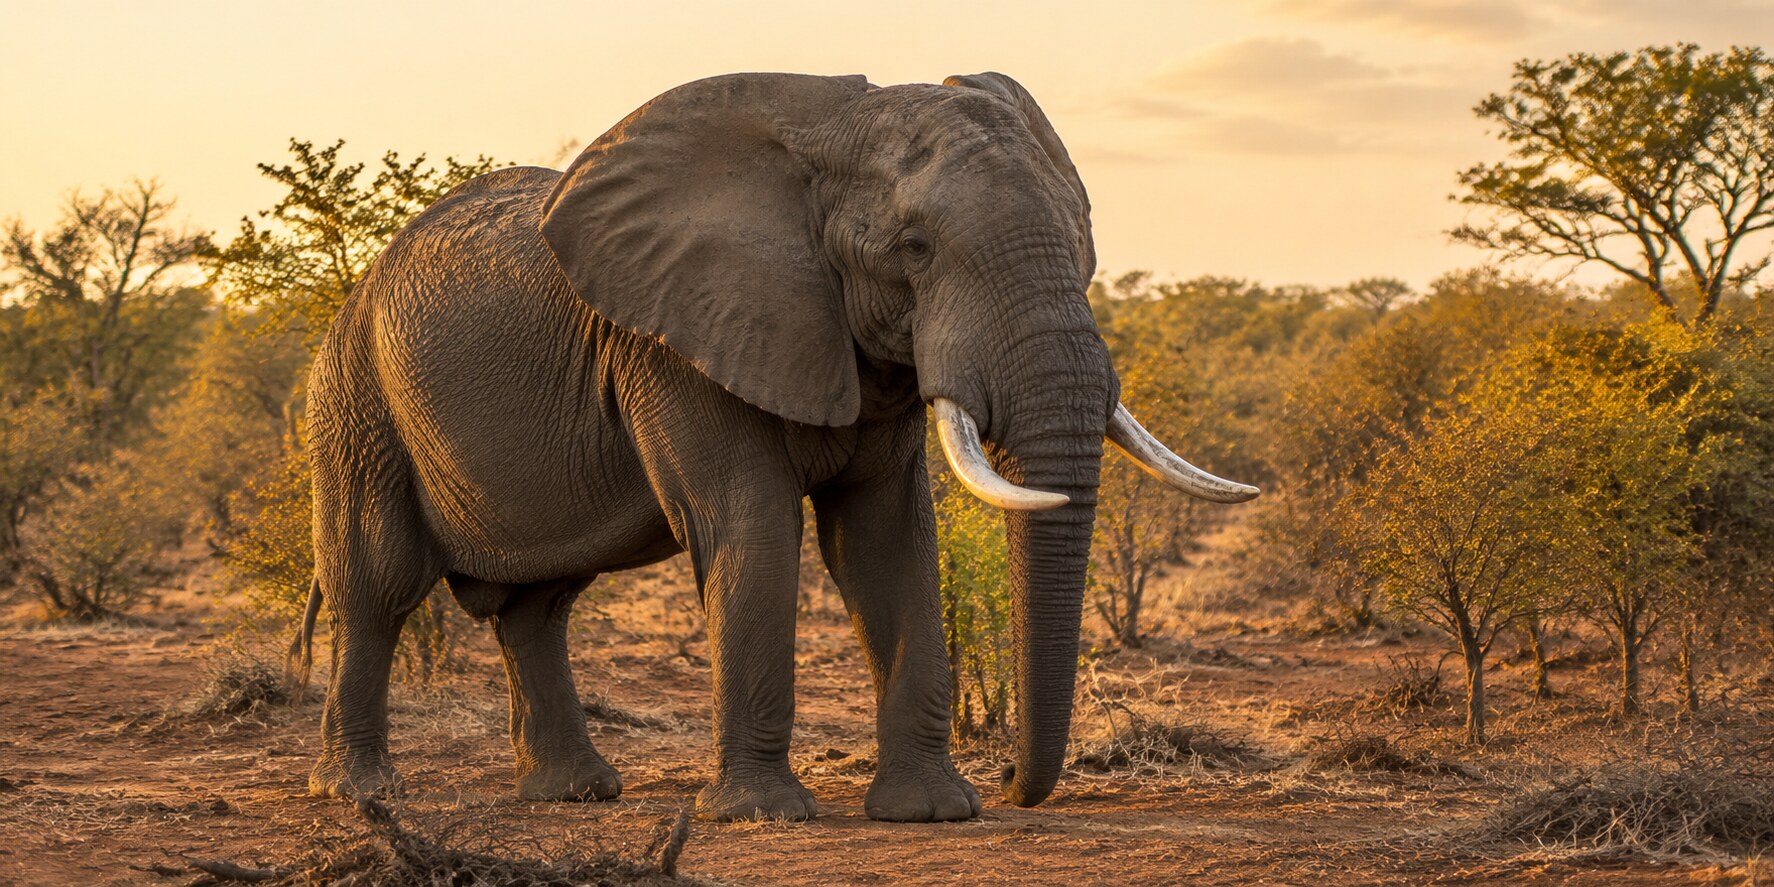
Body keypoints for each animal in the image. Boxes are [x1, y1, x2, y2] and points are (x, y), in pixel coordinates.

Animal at [296, 70, 1257, 823]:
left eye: (1085, 240)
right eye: (915, 248)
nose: (1016, 778)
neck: (827, 134)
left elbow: (883, 539)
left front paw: (933, 811)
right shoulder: (673, 342)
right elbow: (750, 524)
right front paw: (763, 814)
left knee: (540, 604)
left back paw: (574, 793)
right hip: (354, 400)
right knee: (377, 586)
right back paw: (360, 795)